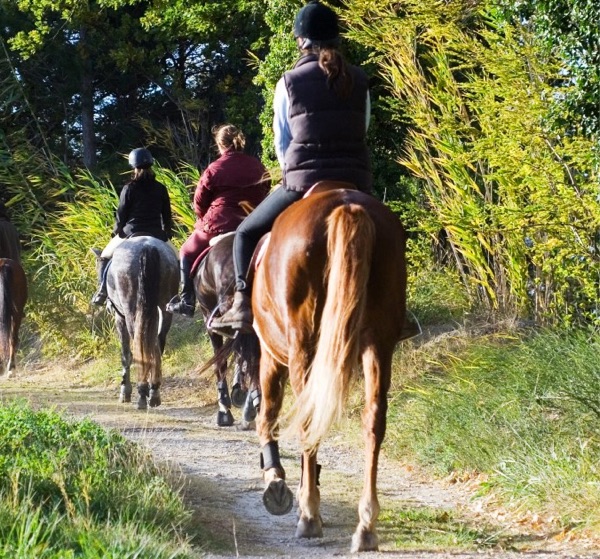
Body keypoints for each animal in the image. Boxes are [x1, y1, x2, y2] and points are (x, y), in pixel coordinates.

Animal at [94, 236, 178, 412]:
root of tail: (147, 246)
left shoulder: (119, 317)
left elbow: (126, 355)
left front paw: (124, 392)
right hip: (164, 309)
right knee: (156, 344)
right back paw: (154, 393)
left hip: (131, 311)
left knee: (140, 346)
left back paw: (142, 395)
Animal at [251, 187, 414, 552]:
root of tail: (346, 204)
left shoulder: (270, 354)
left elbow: (267, 414)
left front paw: (277, 481)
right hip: (378, 343)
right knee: (374, 420)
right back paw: (366, 526)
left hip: (303, 346)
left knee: (307, 419)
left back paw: (309, 516)